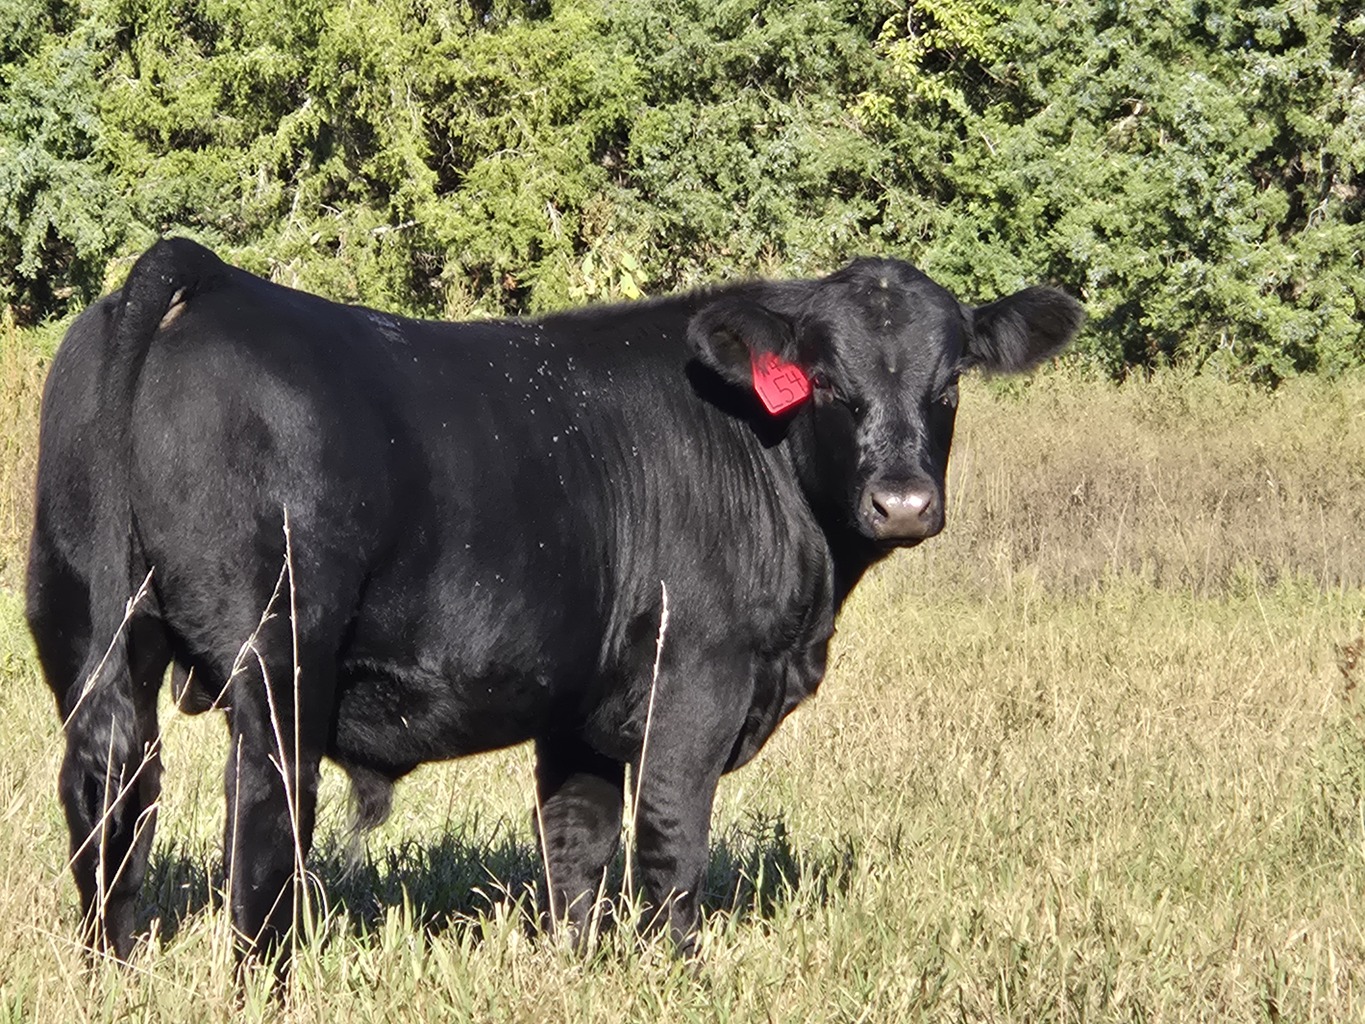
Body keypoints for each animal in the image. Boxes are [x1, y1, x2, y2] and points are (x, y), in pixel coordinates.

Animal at [27, 238, 1082, 967]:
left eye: (949, 384)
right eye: (823, 381)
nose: (902, 500)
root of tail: (212, 276)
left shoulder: (581, 702)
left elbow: (577, 844)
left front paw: (578, 964)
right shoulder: (698, 671)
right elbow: (668, 835)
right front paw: (673, 970)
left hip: (86, 627)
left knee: (109, 792)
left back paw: (112, 969)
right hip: (280, 651)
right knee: (262, 816)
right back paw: (264, 980)